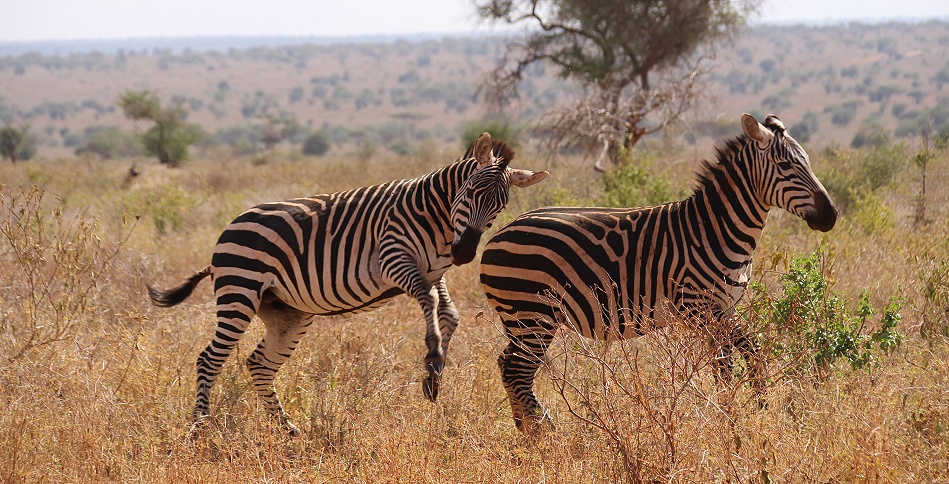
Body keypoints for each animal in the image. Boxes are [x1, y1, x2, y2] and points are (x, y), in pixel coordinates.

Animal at [148, 132, 548, 435]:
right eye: (469, 194)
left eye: (499, 207)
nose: (464, 252)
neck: (436, 218)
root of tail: (231, 225)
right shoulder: (392, 257)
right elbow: (431, 301)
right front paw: (433, 356)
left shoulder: (435, 271)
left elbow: (449, 313)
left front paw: (433, 375)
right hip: (239, 291)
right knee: (209, 359)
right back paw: (199, 430)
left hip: (286, 312)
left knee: (259, 364)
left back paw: (287, 430)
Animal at [479, 113, 837, 433]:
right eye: (786, 167)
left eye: (808, 162)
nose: (831, 216)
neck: (714, 229)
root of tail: (498, 234)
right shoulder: (697, 307)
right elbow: (736, 358)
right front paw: (741, 413)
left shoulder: (724, 307)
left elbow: (741, 355)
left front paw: (748, 408)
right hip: (533, 313)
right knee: (517, 370)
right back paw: (544, 435)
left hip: (522, 318)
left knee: (506, 363)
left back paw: (525, 432)